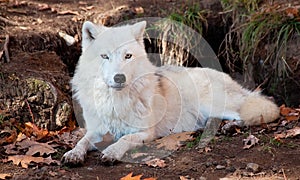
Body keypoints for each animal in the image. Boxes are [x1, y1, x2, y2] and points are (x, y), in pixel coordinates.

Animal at [62, 20, 280, 164]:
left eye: (128, 56)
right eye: (104, 56)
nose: (119, 78)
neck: (115, 102)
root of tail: (230, 78)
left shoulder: (145, 132)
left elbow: (124, 139)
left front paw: (112, 152)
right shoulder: (96, 130)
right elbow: (82, 140)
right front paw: (74, 153)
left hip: (211, 103)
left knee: (250, 113)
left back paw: (231, 126)